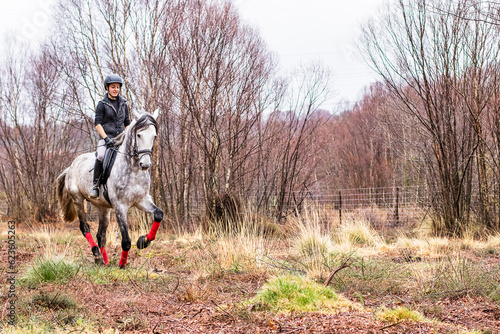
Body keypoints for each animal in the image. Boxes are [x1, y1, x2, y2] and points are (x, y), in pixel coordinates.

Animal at [57, 110, 163, 268]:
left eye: (154, 136)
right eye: (139, 135)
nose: (145, 164)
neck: (133, 171)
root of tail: (71, 166)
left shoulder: (142, 200)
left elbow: (158, 214)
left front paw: (143, 241)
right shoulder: (120, 206)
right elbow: (126, 240)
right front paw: (122, 264)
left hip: (103, 208)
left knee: (101, 235)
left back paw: (104, 261)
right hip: (77, 199)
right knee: (84, 227)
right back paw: (96, 255)